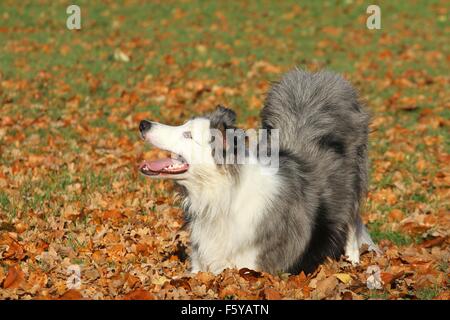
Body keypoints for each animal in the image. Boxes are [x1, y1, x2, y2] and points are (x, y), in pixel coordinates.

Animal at [139, 69, 378, 274]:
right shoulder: (200, 264)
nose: (143, 123)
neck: (223, 197)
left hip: (351, 187)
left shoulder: (251, 266)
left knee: (352, 221)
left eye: (188, 135)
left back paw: (353, 259)